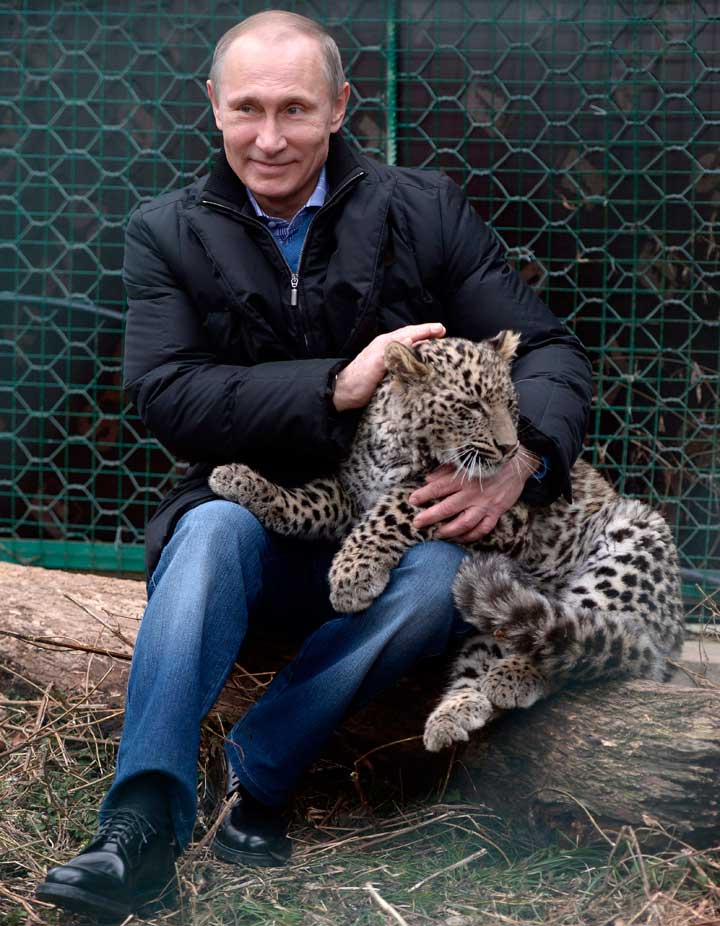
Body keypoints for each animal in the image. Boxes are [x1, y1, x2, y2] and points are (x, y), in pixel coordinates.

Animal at [208, 331, 685, 752]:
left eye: (511, 405)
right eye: (472, 406)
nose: (512, 450)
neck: (400, 444)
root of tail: (675, 633)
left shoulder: (490, 510)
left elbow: (398, 508)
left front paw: (351, 576)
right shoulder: (349, 496)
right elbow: (308, 501)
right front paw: (241, 481)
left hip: (631, 543)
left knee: (587, 644)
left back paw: (512, 676)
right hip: (489, 608)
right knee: (507, 648)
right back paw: (456, 712)